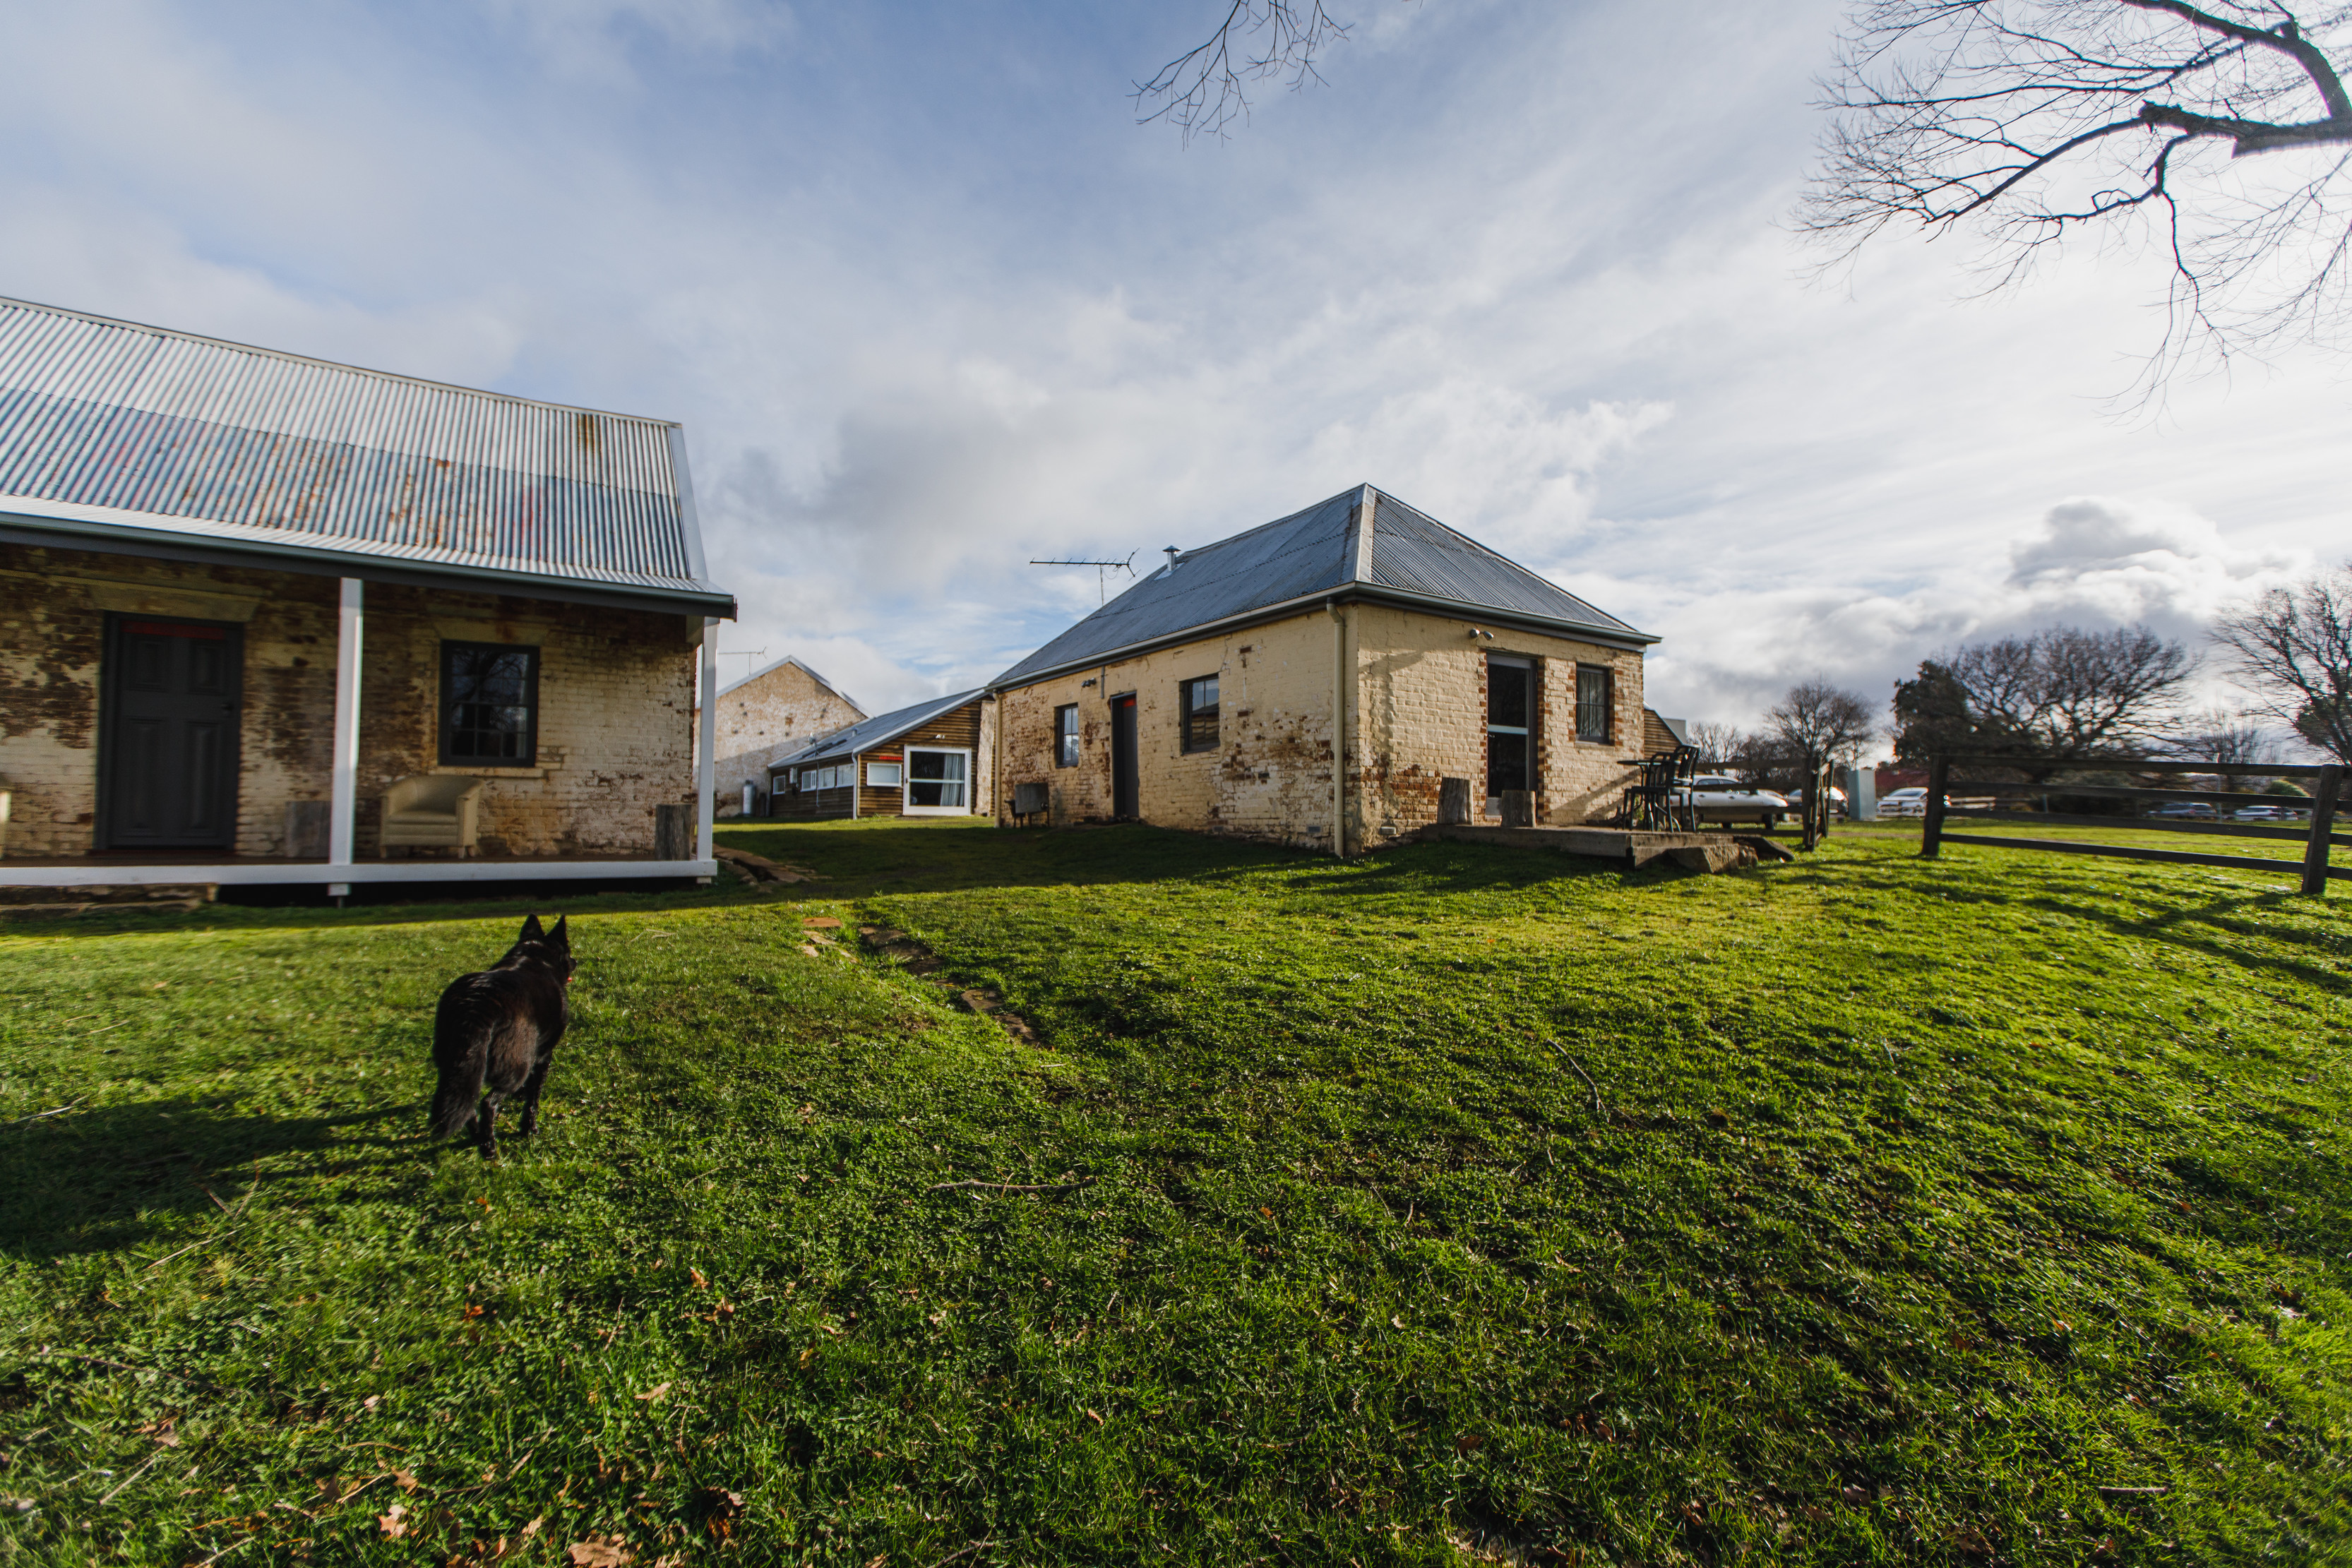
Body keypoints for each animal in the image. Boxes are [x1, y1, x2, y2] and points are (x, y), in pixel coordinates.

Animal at [425, 911, 571, 1161]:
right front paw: (529, 1128)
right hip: (517, 1065)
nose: (576, 961)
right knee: (487, 1104)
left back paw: (478, 1138)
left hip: (459, 1066)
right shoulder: (543, 1054)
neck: (534, 958)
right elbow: (533, 1097)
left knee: (469, 1105)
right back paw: (489, 1147)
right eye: (569, 953)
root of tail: (478, 1005)